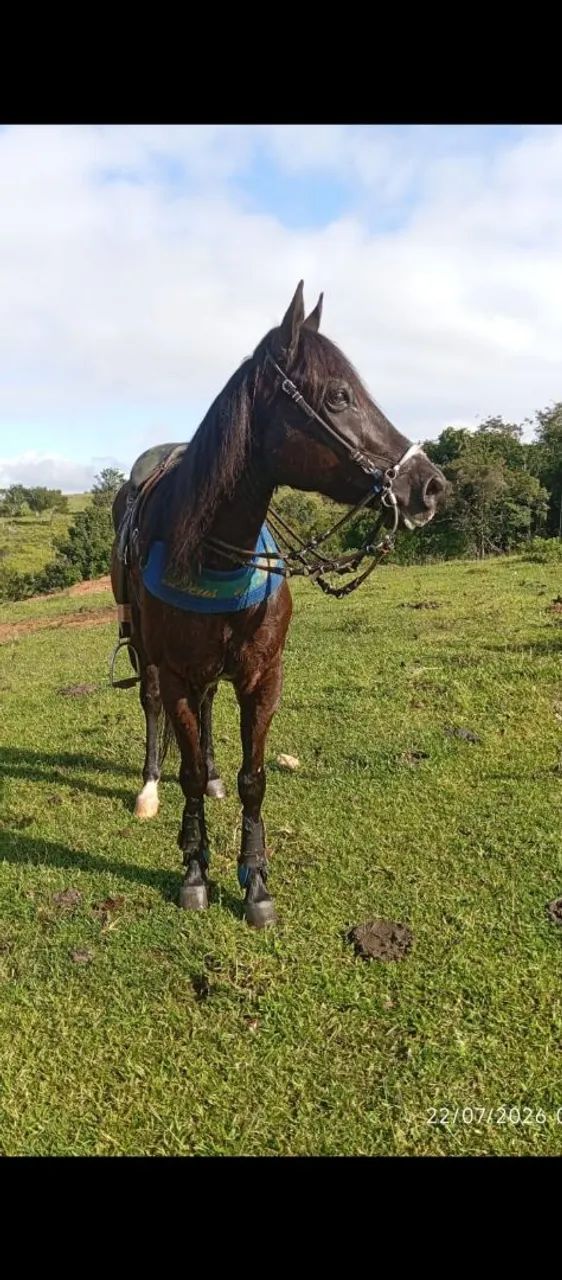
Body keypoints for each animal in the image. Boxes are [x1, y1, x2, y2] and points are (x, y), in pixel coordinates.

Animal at [110, 282, 446, 927]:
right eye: (339, 396)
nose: (429, 485)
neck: (215, 552)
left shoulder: (264, 676)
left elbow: (252, 778)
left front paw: (255, 881)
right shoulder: (177, 670)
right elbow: (188, 774)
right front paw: (195, 872)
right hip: (144, 648)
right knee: (153, 706)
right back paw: (149, 787)